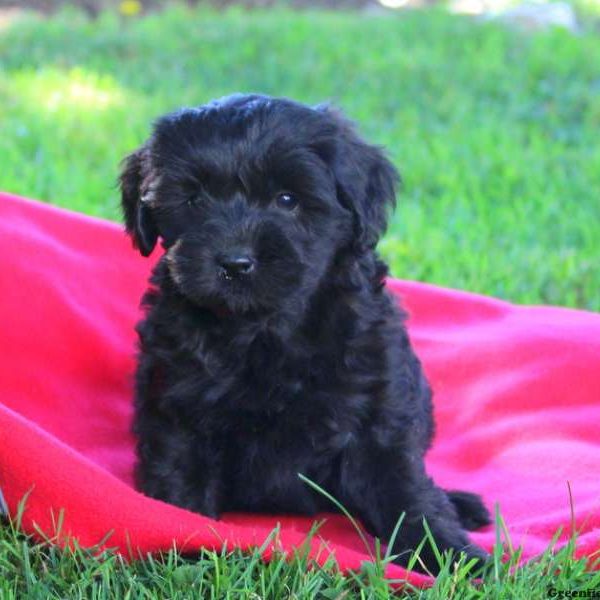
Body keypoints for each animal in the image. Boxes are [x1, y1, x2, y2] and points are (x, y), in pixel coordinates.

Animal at [119, 94, 490, 572]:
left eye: (287, 199)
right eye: (194, 199)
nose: (235, 263)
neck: (263, 329)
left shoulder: (378, 411)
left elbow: (407, 489)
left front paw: (449, 556)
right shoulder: (178, 408)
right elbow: (179, 482)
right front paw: (181, 548)